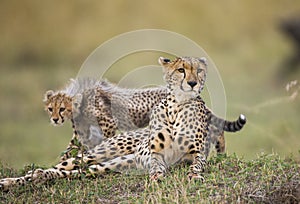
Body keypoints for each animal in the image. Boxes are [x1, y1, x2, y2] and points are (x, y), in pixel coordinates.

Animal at [45, 77, 246, 159]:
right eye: (50, 109)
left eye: (61, 109)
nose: (55, 119)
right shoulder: (81, 131)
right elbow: (70, 147)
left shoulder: (108, 123)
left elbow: (106, 139)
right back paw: (220, 152)